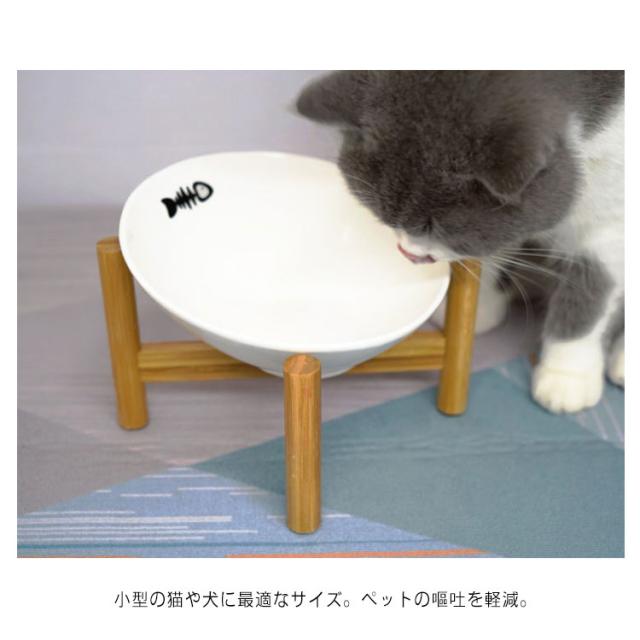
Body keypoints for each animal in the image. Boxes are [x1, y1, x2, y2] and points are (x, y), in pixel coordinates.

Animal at [296, 70, 624, 414]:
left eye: (437, 227)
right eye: (384, 215)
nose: (409, 253)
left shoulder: (614, 217)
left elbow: (591, 287)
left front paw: (567, 376)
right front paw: (478, 312)